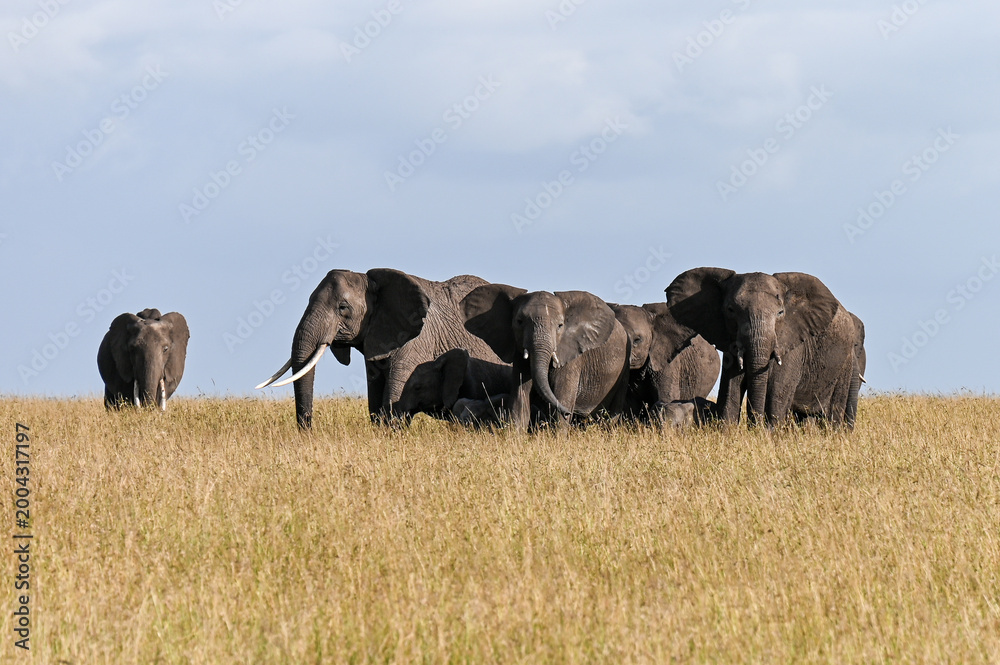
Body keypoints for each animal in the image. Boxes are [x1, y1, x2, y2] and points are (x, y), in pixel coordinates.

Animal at [461, 285, 630, 429]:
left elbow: (562, 398)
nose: (569, 412)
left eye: (560, 326)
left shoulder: (571, 356)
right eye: (519, 322)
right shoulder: (519, 354)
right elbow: (520, 398)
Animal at [665, 268, 864, 428]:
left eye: (780, 313)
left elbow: (776, 393)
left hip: (844, 362)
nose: (755, 425)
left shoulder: (792, 342)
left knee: (834, 410)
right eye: (730, 310)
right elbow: (730, 391)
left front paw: (767, 436)